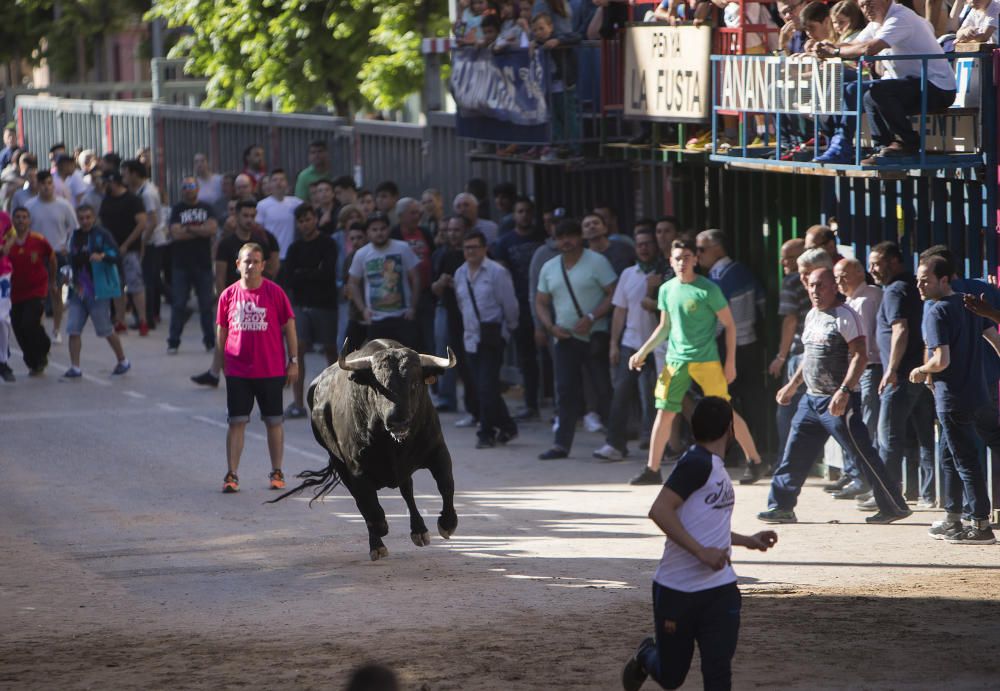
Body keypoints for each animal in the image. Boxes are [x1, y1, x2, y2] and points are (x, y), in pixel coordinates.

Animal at [270, 340, 458, 564]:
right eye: (378, 387)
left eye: (414, 384)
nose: (397, 421)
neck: (393, 444)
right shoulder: (356, 469)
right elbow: (369, 505)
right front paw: (380, 528)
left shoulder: (438, 450)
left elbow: (446, 485)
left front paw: (447, 524)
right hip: (339, 463)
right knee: (363, 502)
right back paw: (377, 544)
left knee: (407, 491)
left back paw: (419, 531)